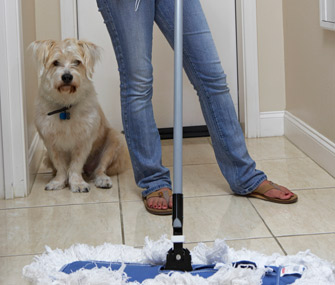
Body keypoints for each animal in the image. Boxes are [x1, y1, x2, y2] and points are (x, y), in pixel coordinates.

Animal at [30, 37, 130, 192]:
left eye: (77, 62)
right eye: (55, 62)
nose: (67, 77)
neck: (66, 106)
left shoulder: (83, 140)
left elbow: (76, 164)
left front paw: (77, 183)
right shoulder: (51, 142)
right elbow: (60, 165)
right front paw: (58, 182)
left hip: (114, 140)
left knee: (99, 169)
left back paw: (102, 180)